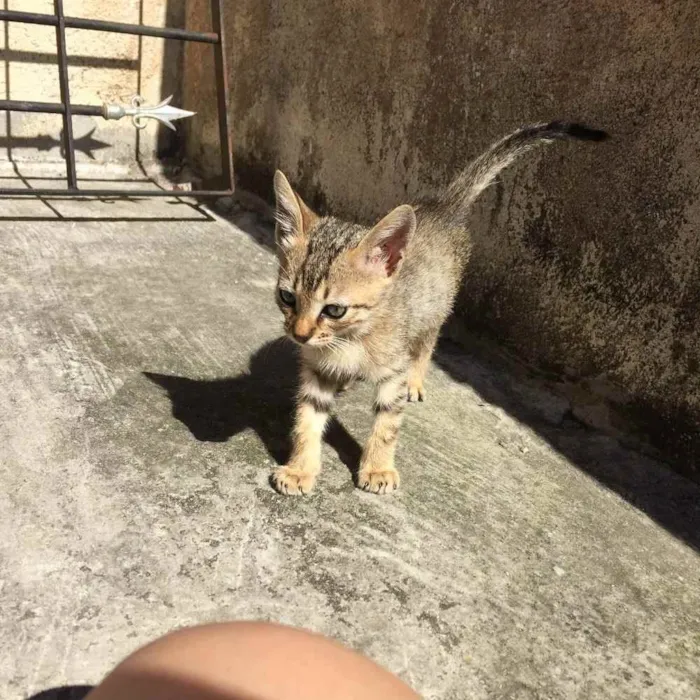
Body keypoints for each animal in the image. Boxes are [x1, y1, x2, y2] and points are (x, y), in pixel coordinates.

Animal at [270, 120, 604, 494]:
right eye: (287, 298)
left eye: (334, 310)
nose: (299, 335)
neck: (350, 340)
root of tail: (442, 207)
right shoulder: (315, 370)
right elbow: (307, 419)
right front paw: (300, 468)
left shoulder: (393, 369)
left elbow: (387, 424)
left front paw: (378, 467)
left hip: (434, 308)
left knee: (427, 344)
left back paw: (415, 381)